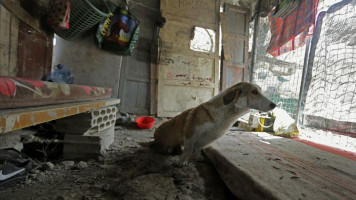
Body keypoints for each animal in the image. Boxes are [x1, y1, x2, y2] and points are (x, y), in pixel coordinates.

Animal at [140, 81, 276, 166]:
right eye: (254, 92)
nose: (274, 105)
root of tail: (155, 139)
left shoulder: (207, 139)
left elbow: (198, 149)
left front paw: (198, 158)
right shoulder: (190, 133)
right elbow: (189, 149)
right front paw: (182, 161)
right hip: (164, 145)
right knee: (160, 148)